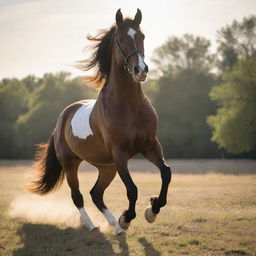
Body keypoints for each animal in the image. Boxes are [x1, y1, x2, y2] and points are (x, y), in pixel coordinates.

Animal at [29, 8, 171, 236]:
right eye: (120, 39)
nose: (140, 70)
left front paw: (152, 210)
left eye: (142, 36)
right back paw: (93, 225)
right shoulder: (119, 152)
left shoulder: (150, 145)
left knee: (96, 194)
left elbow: (166, 173)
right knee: (77, 196)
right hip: (71, 164)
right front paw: (127, 218)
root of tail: (61, 120)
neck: (129, 106)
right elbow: (132, 189)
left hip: (107, 167)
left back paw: (115, 225)